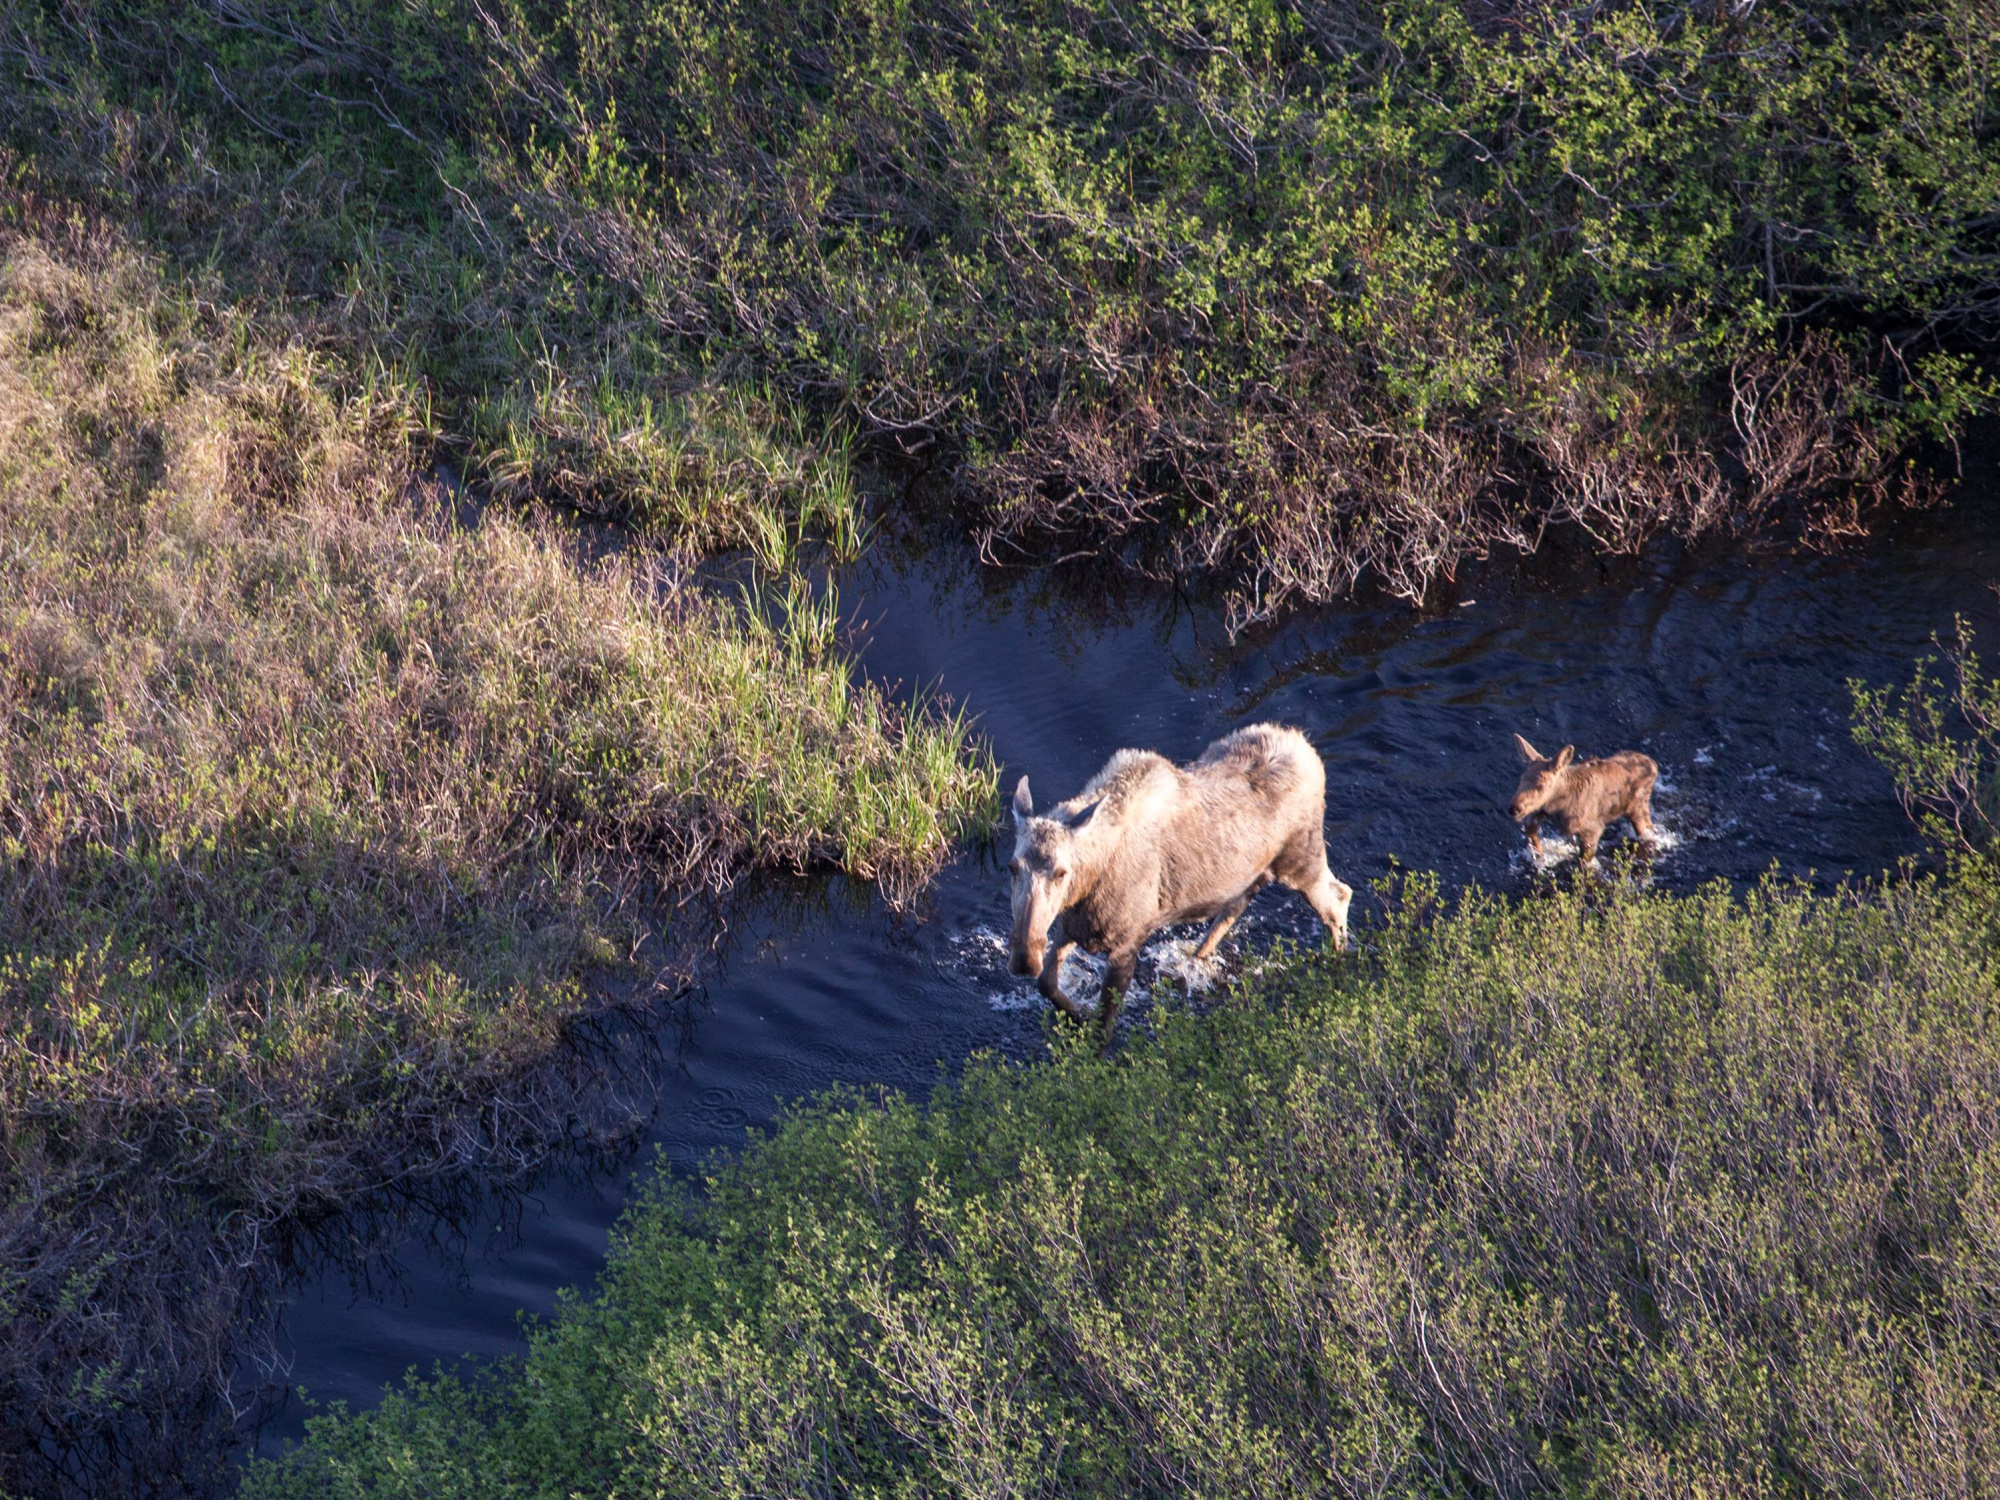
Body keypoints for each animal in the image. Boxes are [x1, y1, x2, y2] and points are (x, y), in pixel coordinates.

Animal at [1008, 728, 1352, 1048]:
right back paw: (1193, 961)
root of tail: (1307, 748)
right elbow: (1047, 983)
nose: (1023, 958)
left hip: (1301, 861)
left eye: (1061, 873)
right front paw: (1077, 1013)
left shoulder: (1126, 943)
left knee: (1339, 898)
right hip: (1253, 872)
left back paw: (1338, 967)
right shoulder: (1071, 926)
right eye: (1012, 867)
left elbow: (1103, 1028)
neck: (1087, 883)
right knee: (1236, 906)